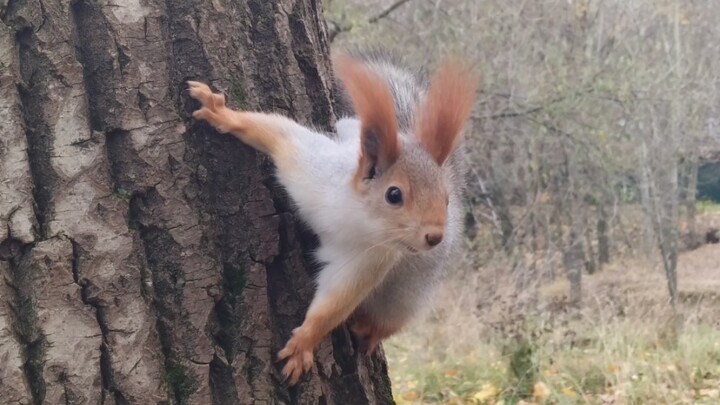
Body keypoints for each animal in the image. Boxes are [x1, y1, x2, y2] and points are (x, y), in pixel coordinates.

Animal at [187, 49, 478, 384]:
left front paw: (304, 344)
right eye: (394, 195)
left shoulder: (369, 259)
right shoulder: (311, 168)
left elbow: (334, 302)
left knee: (390, 318)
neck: (356, 216)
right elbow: (277, 133)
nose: (434, 236)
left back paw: (370, 330)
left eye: (445, 199)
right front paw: (222, 114)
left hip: (407, 291)